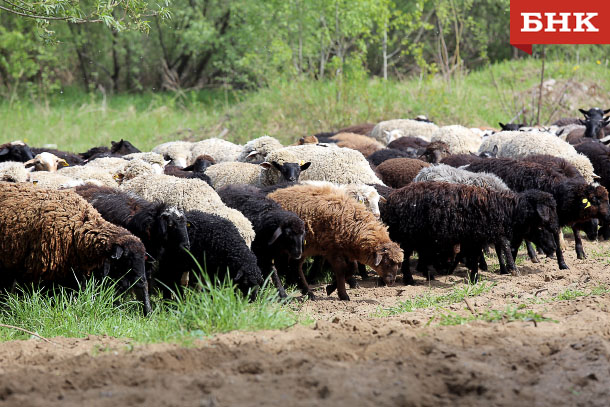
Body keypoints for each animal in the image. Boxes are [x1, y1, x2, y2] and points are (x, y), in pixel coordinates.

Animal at [268, 183, 402, 302]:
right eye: (387, 262)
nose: (391, 281)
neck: (354, 226)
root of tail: (272, 195)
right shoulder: (332, 250)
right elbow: (341, 270)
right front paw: (342, 294)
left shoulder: (345, 251)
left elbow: (352, 268)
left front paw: (331, 288)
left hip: (302, 248)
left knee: (295, 266)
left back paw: (308, 293)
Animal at [382, 183, 560, 286]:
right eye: (541, 226)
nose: (553, 247)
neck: (507, 210)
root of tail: (390, 200)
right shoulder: (484, 233)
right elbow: (503, 245)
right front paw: (513, 269)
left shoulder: (475, 238)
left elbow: (474, 258)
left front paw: (474, 279)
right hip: (407, 237)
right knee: (405, 259)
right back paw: (410, 280)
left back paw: (427, 275)